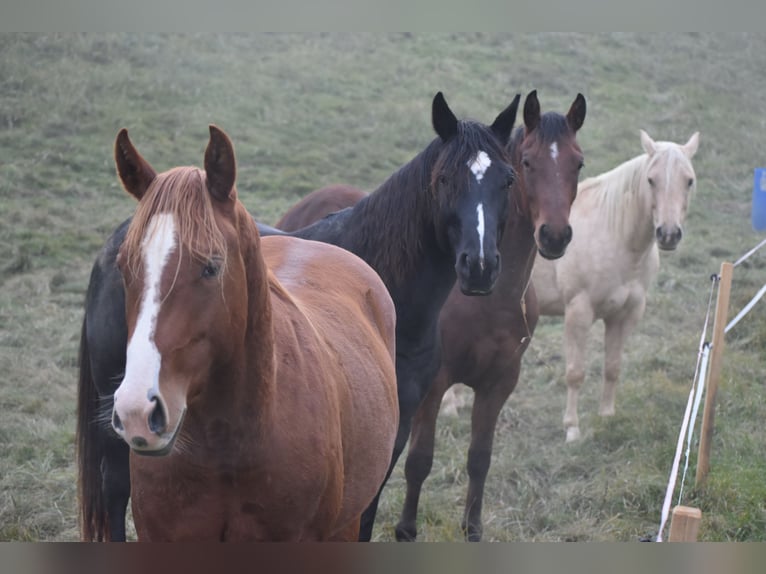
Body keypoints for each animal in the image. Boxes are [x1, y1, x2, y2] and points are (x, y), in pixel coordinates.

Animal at [276, 91, 587, 541]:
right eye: (527, 163)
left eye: (578, 163)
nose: (555, 235)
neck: (489, 304)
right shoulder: (435, 385)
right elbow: (419, 460)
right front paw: (406, 529)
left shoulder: (499, 383)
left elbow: (480, 457)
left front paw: (472, 529)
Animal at [532, 129, 700, 443]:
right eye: (651, 179)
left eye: (689, 180)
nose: (668, 234)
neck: (614, 235)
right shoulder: (578, 311)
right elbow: (575, 372)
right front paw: (572, 429)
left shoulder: (624, 315)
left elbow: (612, 367)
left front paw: (607, 416)